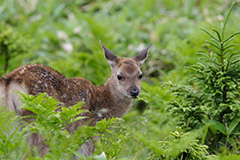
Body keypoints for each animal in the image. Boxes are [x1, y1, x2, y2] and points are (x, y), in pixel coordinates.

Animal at [0, 41, 150, 158]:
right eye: (119, 76)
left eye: (140, 75)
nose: (134, 91)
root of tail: (12, 79)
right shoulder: (88, 134)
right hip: (42, 125)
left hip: (10, 123)